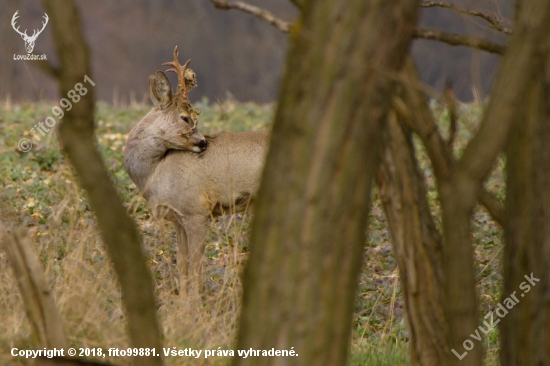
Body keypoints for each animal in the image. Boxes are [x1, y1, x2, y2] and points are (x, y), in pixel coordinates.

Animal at [125, 47, 272, 290]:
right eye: (185, 118)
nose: (203, 143)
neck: (155, 174)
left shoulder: (196, 210)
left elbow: (195, 267)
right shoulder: (178, 219)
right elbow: (183, 265)